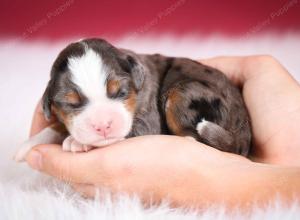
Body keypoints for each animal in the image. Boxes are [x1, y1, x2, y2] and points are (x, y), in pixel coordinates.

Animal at [15, 38, 252, 162]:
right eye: (71, 103)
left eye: (120, 92)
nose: (103, 126)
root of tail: (244, 130)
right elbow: (57, 125)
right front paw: (28, 145)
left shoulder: (149, 122)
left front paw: (77, 142)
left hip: (184, 92)